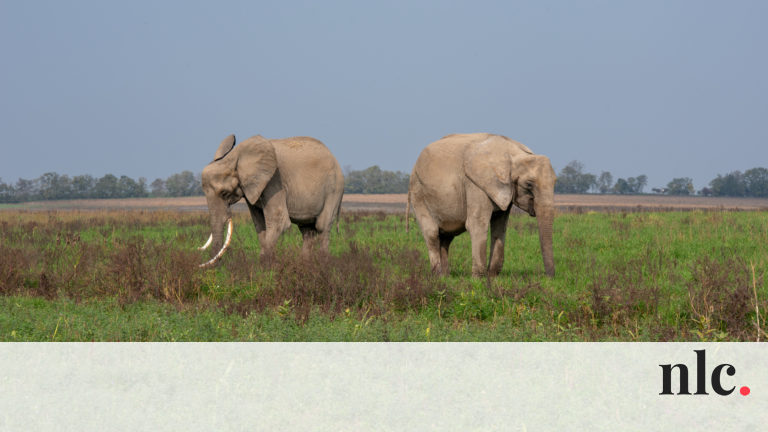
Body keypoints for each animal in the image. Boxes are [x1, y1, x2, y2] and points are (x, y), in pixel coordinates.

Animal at [196, 133, 344, 266]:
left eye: (224, 193)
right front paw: (269, 265)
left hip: (334, 189)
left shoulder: (274, 181)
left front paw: (265, 266)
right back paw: (306, 265)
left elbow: (279, 220)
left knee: (322, 227)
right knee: (306, 230)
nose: (217, 268)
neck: (235, 157)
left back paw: (323, 264)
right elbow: (259, 223)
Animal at [404, 132, 556, 278]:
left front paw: (492, 277)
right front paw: (479, 279)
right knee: (432, 233)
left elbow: (500, 226)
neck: (513, 154)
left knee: (446, 237)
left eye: (555, 182)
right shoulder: (475, 184)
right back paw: (437, 276)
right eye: (529, 184)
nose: (549, 278)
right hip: (418, 192)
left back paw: (446, 277)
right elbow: (477, 224)